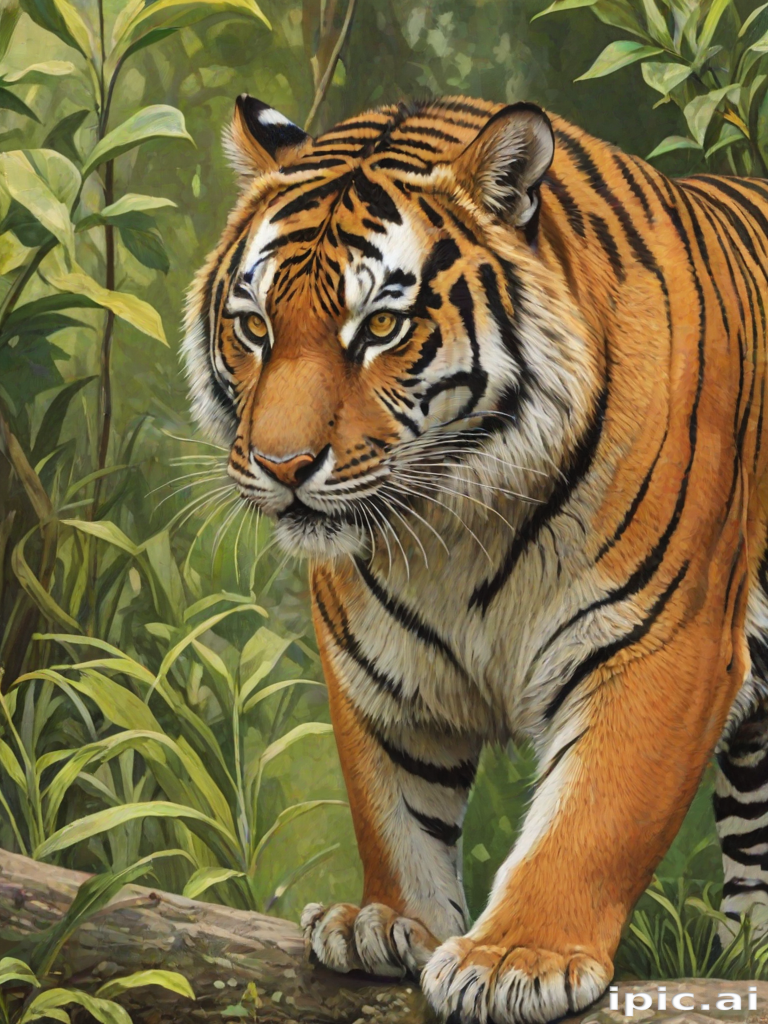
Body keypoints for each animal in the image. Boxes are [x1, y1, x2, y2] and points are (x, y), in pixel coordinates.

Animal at [183, 93, 768, 1023]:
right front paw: (385, 924)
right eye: (254, 328)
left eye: (381, 327)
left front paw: (515, 958)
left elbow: (590, 818)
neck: (456, 523)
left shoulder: (662, 645)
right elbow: (394, 805)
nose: (281, 467)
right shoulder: (376, 660)